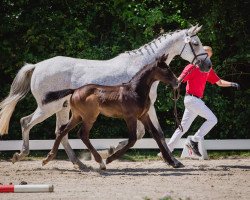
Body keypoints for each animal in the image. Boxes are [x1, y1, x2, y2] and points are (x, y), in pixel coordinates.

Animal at [42, 54, 184, 169]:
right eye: (166, 69)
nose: (177, 82)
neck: (135, 91)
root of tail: (74, 90)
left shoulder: (143, 115)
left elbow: (155, 134)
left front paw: (172, 162)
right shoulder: (130, 117)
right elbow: (132, 139)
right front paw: (110, 158)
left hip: (77, 116)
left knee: (62, 131)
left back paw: (48, 158)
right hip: (89, 116)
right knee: (82, 134)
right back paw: (101, 162)